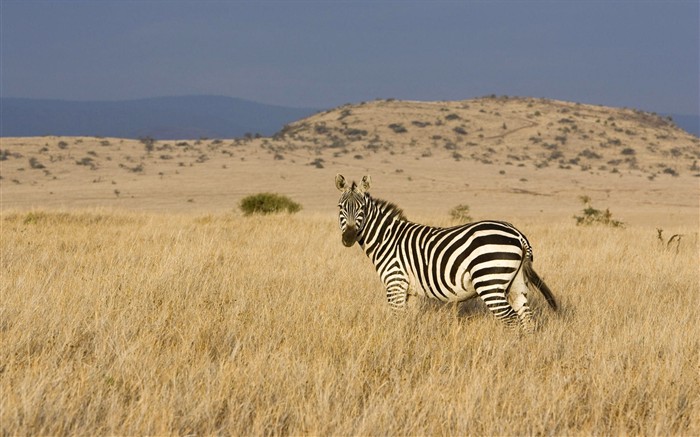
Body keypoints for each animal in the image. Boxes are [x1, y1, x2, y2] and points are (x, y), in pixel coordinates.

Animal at [335, 174, 557, 331]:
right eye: (340, 207)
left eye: (362, 208)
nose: (348, 238)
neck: (387, 238)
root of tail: (518, 234)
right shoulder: (409, 290)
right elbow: (408, 321)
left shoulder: (395, 283)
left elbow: (397, 320)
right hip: (516, 283)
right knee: (526, 318)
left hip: (489, 281)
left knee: (510, 319)